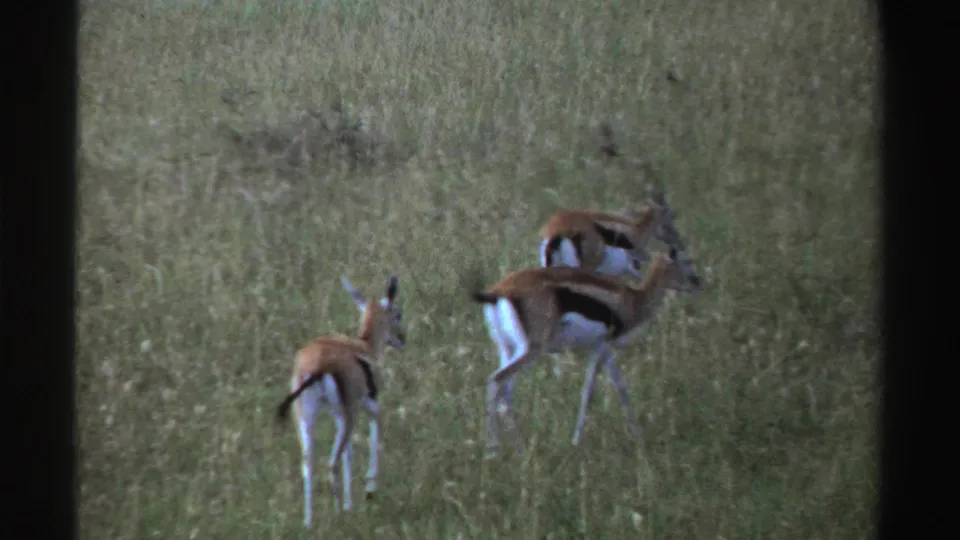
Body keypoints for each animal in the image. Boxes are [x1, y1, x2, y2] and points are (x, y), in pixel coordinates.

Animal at [275, 274, 405, 526]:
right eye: (397, 313)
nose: (402, 338)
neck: (364, 345)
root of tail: (317, 365)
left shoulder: (338, 413)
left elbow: (349, 453)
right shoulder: (365, 404)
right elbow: (373, 433)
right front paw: (368, 491)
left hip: (306, 417)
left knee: (308, 464)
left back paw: (309, 523)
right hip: (347, 416)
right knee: (331, 462)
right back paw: (339, 516)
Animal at [470, 247, 701, 456]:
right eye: (685, 261)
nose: (696, 282)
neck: (634, 299)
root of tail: (499, 292)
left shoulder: (604, 351)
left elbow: (621, 388)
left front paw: (637, 435)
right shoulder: (602, 347)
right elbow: (588, 391)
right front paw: (576, 441)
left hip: (508, 349)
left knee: (504, 392)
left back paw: (514, 449)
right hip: (531, 351)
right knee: (497, 380)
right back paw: (496, 450)